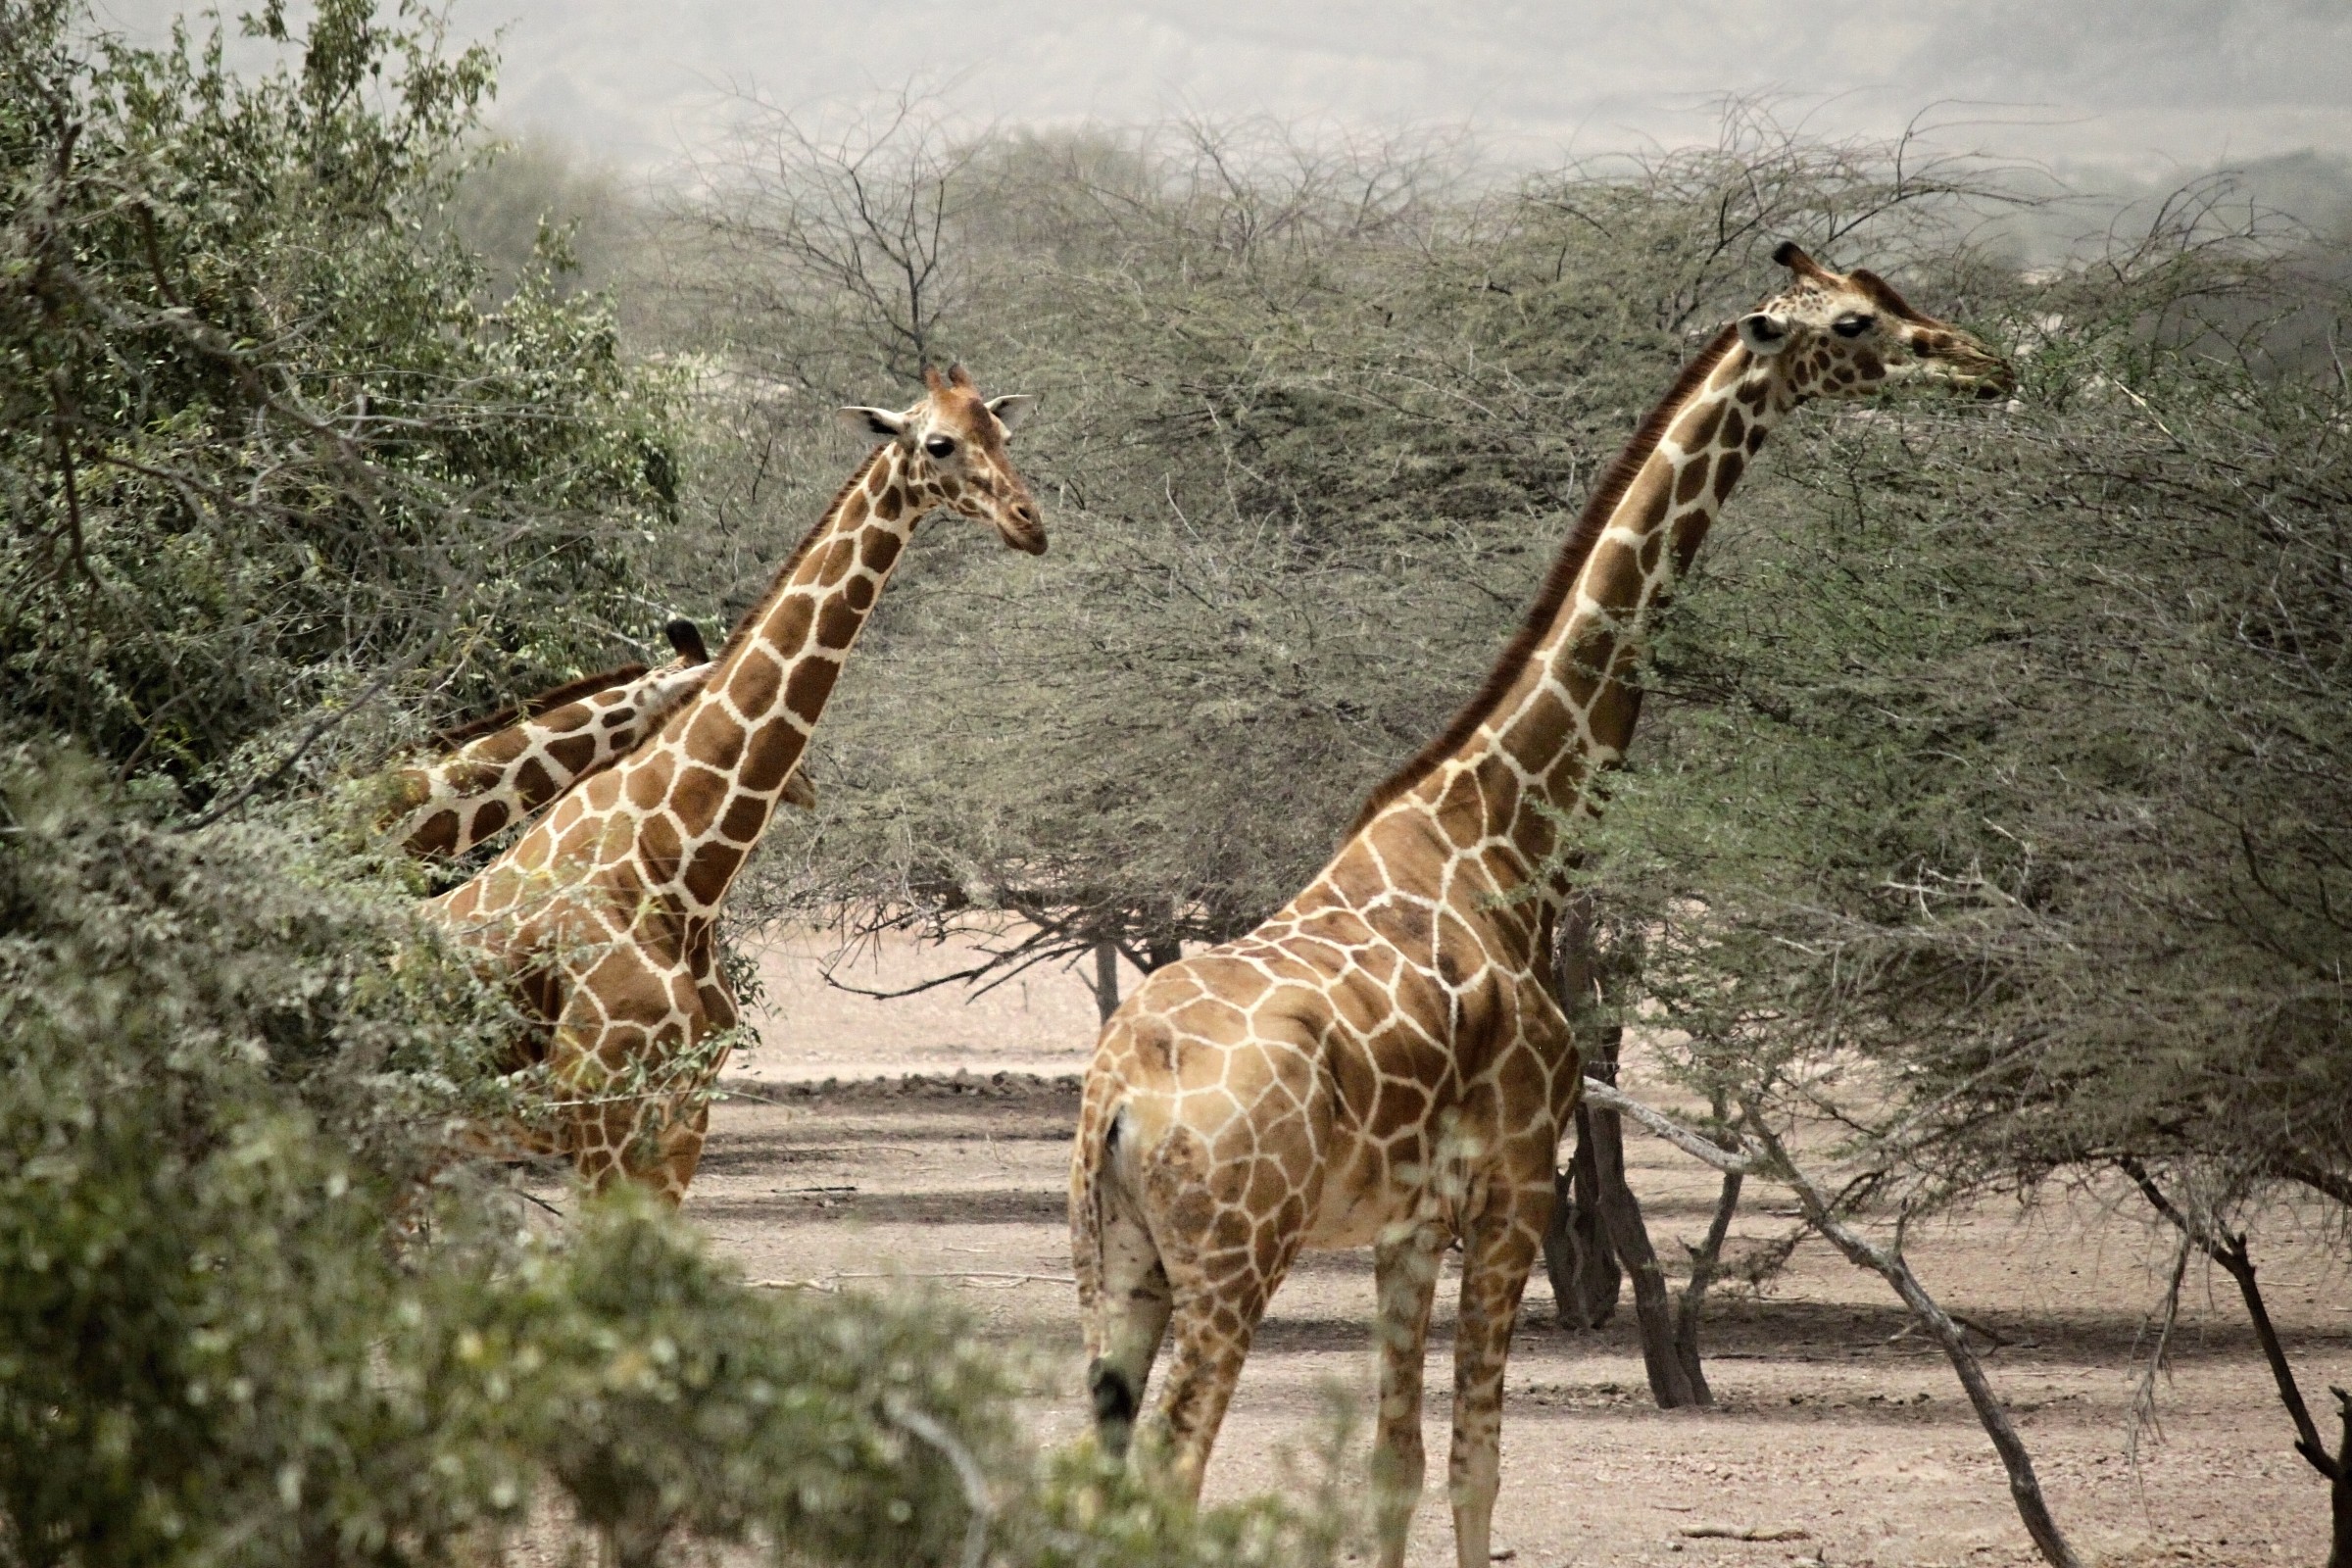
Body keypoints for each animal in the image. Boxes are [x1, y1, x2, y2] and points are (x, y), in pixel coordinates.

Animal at [429, 365, 1043, 1201]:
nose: (1029, 524)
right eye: (941, 443)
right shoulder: (603, 1109)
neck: (677, 866)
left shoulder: (684, 1116)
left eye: (1003, 434)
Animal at [1071, 245, 2012, 1568]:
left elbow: (1396, 1466)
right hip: (1234, 1259)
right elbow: (1479, 1466)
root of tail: (1120, 1097)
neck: (1500, 841)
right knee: (1170, 1473)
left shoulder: (1409, 1228)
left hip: (1115, 1263)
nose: (1987, 364)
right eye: (1856, 324)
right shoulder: (1513, 1189)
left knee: (1097, 1470)